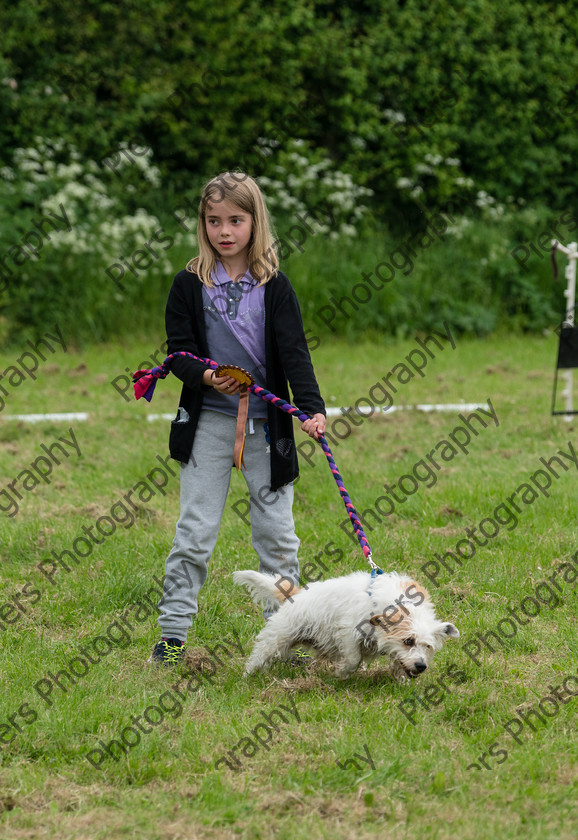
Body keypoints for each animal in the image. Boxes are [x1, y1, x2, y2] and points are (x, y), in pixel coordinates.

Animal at [232, 572, 456, 684]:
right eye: (408, 641)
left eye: (428, 646)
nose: (421, 666)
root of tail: (296, 594)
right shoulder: (348, 632)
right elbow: (353, 659)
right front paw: (341, 673)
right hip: (277, 638)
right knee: (258, 656)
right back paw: (246, 678)